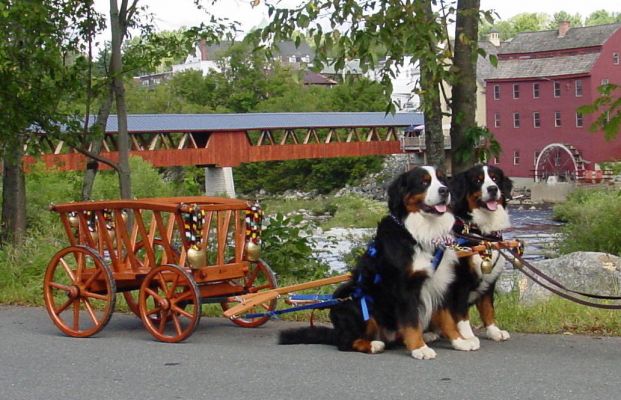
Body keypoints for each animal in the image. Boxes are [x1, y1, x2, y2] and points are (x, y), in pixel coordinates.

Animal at [278, 164, 512, 358]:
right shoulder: (407, 287)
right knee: (344, 342)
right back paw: (374, 344)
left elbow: (455, 316)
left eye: (442, 179)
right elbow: (413, 320)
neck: (421, 234)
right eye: (424, 182)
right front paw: (420, 349)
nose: (444, 191)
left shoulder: (443, 283)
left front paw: (460, 342)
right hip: (352, 298)